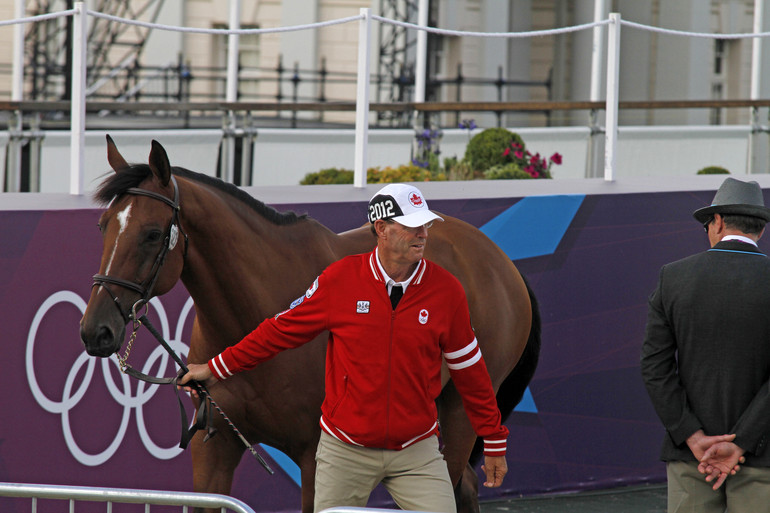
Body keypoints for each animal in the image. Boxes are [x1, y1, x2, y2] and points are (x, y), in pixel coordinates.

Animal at [79, 136, 540, 512]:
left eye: (152, 234)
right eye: (102, 226)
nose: (95, 330)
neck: (251, 313)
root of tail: (498, 259)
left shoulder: (317, 458)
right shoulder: (215, 448)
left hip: (461, 409)